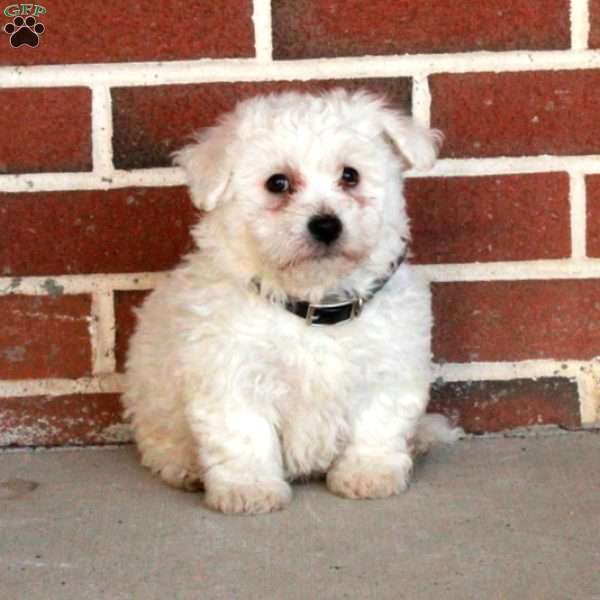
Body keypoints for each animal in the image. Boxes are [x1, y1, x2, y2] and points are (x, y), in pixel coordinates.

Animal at [120, 89, 460, 516]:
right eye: (277, 183)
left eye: (350, 175)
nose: (326, 225)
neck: (315, 306)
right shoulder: (233, 374)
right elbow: (243, 434)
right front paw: (249, 489)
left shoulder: (388, 368)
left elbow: (377, 425)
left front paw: (368, 473)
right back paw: (186, 468)